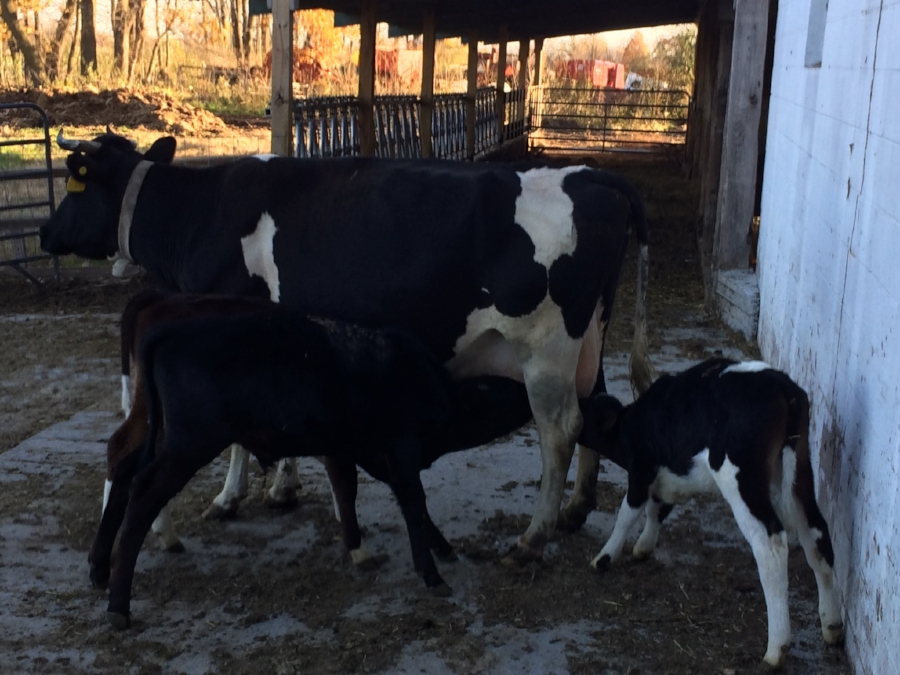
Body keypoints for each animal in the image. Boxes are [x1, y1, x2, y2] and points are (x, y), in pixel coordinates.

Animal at [42, 132, 652, 560]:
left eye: (74, 187)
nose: (45, 234)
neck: (201, 214)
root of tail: (590, 177)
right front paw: (282, 487)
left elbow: (238, 438)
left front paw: (231, 496)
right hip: (588, 338)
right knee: (595, 406)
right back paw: (575, 509)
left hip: (546, 346)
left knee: (560, 430)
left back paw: (533, 536)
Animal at [93, 302, 536, 628]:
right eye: (503, 391)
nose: (531, 396)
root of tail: (169, 329)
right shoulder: (401, 448)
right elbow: (412, 502)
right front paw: (430, 572)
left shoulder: (366, 452)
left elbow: (372, 493)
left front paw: (420, 548)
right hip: (188, 444)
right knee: (143, 492)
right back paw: (118, 603)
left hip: (161, 435)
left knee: (125, 469)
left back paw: (100, 569)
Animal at [580, 362, 848, 668]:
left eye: (585, 414)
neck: (632, 422)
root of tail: (783, 387)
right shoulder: (665, 477)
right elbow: (657, 509)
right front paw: (644, 546)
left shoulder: (641, 470)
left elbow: (628, 513)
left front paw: (604, 557)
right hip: (800, 468)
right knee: (816, 535)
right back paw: (832, 626)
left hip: (741, 478)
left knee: (771, 546)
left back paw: (776, 648)